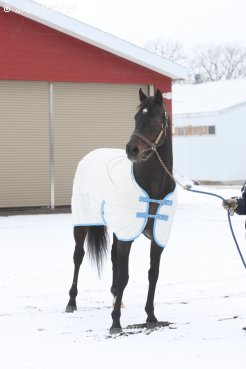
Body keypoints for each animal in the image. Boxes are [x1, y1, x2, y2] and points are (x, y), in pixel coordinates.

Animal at [65, 87, 177, 334]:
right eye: (136, 117)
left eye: (155, 119)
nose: (132, 149)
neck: (153, 188)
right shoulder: (127, 236)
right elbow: (124, 275)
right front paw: (115, 323)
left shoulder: (157, 238)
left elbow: (153, 274)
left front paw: (151, 316)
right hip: (82, 224)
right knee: (78, 257)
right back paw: (71, 302)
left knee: (113, 258)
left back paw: (117, 297)